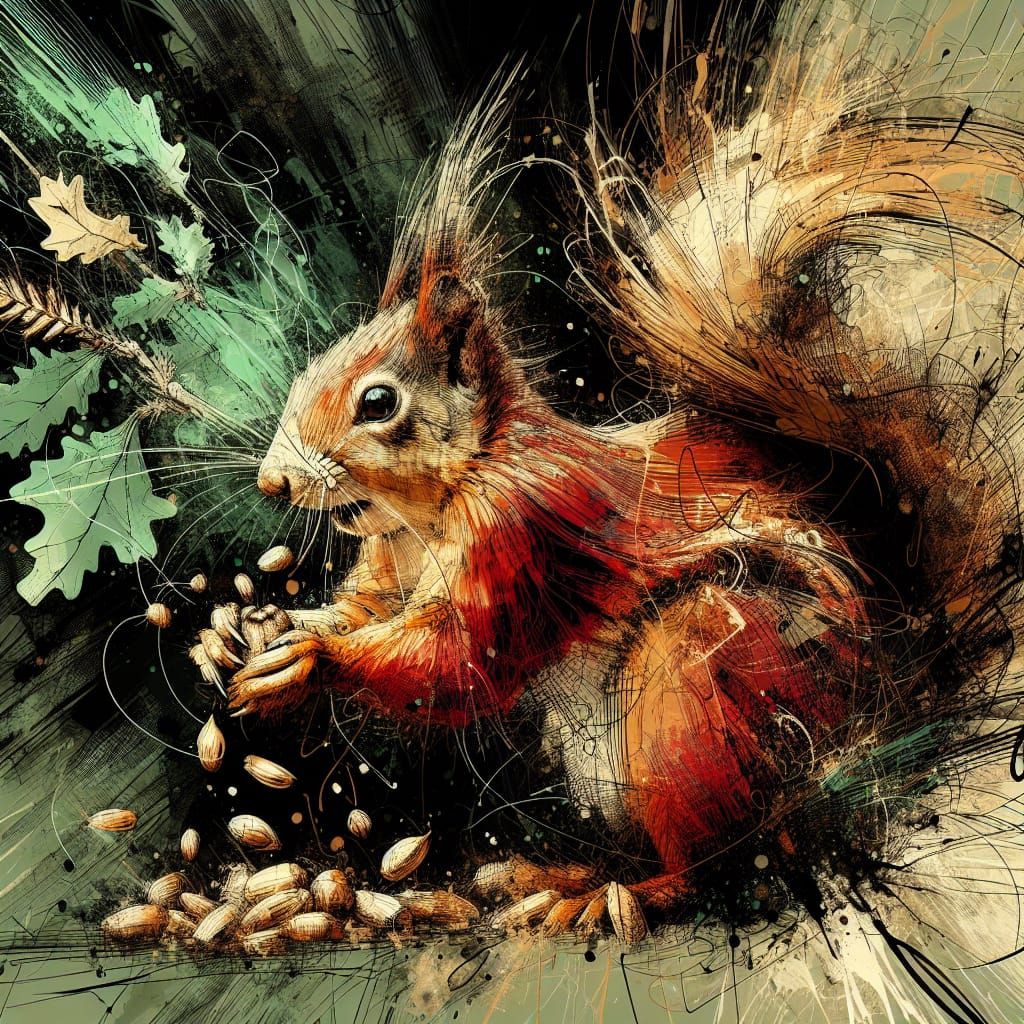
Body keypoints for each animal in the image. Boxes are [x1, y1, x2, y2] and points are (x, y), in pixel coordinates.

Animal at [213, 9, 1024, 922]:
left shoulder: (527, 530)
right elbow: (366, 608)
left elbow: (459, 660)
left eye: (378, 402)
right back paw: (554, 877)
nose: (273, 481)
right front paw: (260, 633)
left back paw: (601, 896)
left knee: (718, 862)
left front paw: (313, 662)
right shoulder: (392, 559)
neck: (453, 490)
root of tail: (892, 691)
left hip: (693, 697)